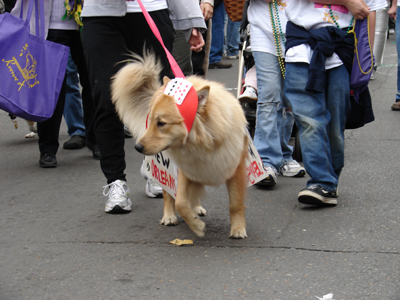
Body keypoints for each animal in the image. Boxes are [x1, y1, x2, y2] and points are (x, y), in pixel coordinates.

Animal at [111, 52, 248, 238]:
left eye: (161, 123)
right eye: (151, 121)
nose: (137, 148)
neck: (206, 142)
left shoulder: (235, 170)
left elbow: (235, 203)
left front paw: (238, 228)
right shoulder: (185, 171)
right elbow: (181, 202)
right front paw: (196, 226)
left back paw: (196, 209)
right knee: (169, 195)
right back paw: (170, 216)